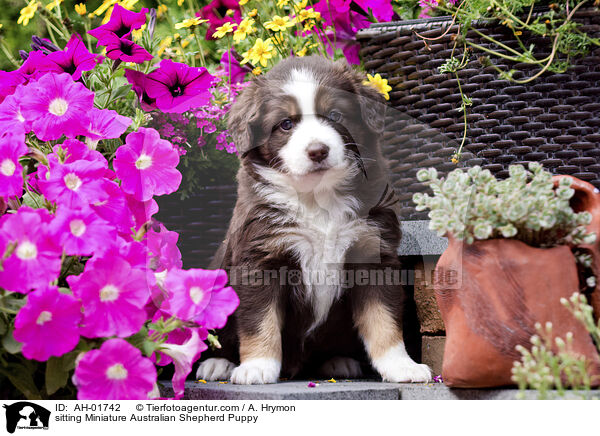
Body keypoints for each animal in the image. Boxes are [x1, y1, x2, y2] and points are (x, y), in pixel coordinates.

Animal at [197, 55, 432, 384]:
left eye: (335, 115)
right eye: (286, 124)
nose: (318, 151)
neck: (318, 198)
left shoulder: (373, 255)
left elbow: (384, 319)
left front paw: (401, 366)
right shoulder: (261, 259)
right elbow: (260, 321)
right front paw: (257, 366)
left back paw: (338, 361)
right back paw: (217, 364)